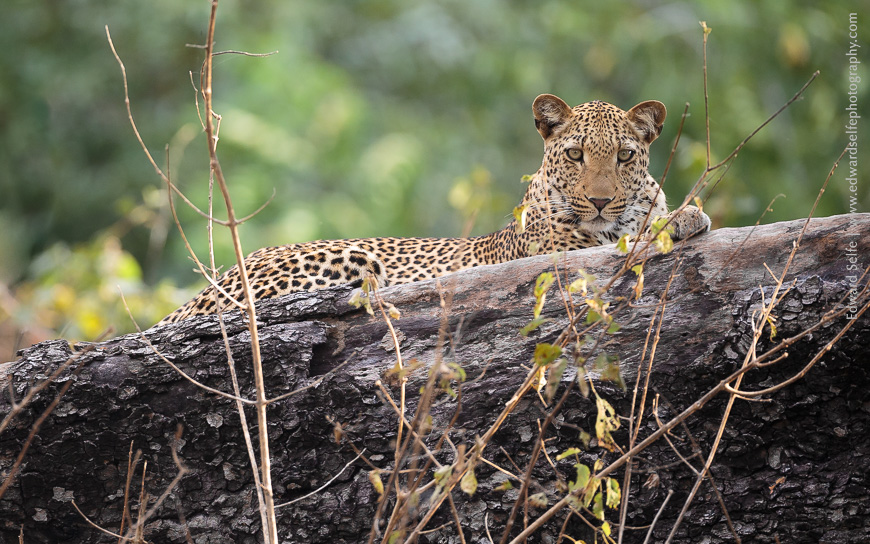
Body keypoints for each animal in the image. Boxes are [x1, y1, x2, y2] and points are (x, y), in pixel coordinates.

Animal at [158, 94, 710, 325]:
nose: (598, 199)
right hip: (345, 258)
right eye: (575, 155)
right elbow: (619, 238)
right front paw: (678, 218)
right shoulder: (558, 250)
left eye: (624, 156)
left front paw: (680, 213)